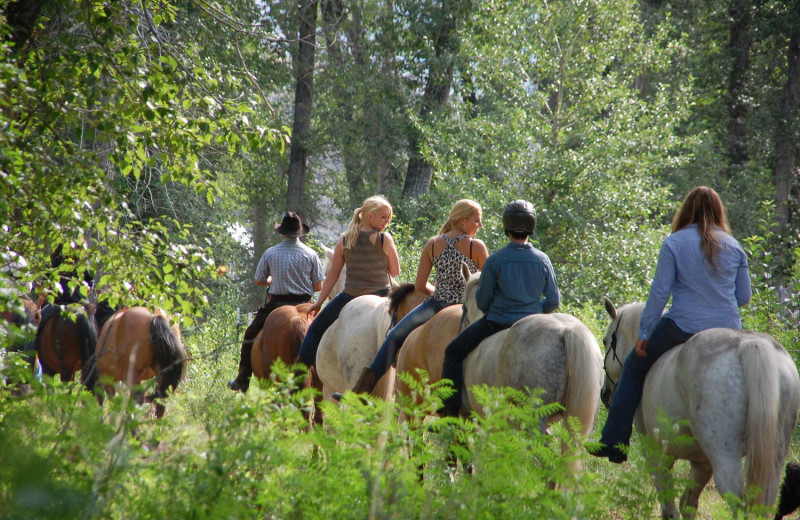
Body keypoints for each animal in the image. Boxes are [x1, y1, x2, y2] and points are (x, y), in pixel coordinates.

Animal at [604, 298, 796, 516]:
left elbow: (669, 507)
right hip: (774, 457)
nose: (604, 394)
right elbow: (687, 503)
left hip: (726, 458)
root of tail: (749, 345)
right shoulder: (701, 462)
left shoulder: (656, 453)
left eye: (605, 341)